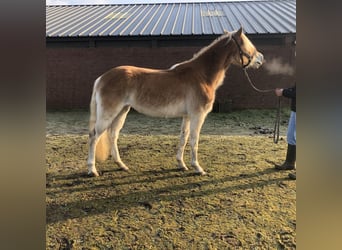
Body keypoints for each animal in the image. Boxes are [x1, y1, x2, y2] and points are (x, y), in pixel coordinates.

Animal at [87, 27, 264, 176]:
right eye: (247, 43)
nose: (261, 59)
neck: (202, 75)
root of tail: (101, 78)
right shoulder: (198, 115)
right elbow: (194, 140)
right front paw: (198, 168)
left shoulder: (187, 116)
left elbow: (183, 138)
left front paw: (181, 164)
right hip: (109, 113)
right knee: (94, 136)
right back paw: (92, 170)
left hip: (122, 111)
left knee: (113, 135)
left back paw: (121, 165)